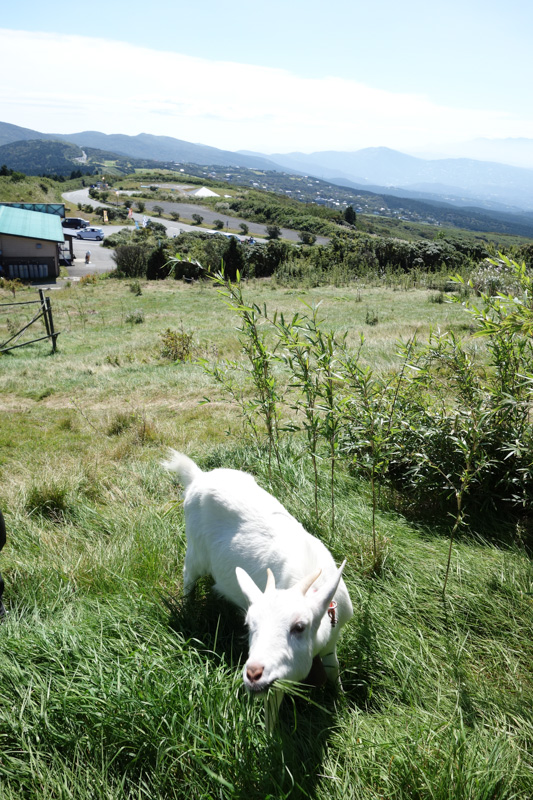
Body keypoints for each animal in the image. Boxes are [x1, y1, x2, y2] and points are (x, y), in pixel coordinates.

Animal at [163, 450, 353, 729]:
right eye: (249, 625)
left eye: (299, 627)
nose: (253, 673)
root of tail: (198, 476)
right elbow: (274, 703)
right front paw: (269, 732)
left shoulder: (332, 638)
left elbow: (334, 669)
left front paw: (342, 701)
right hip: (195, 551)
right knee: (188, 576)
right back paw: (187, 609)